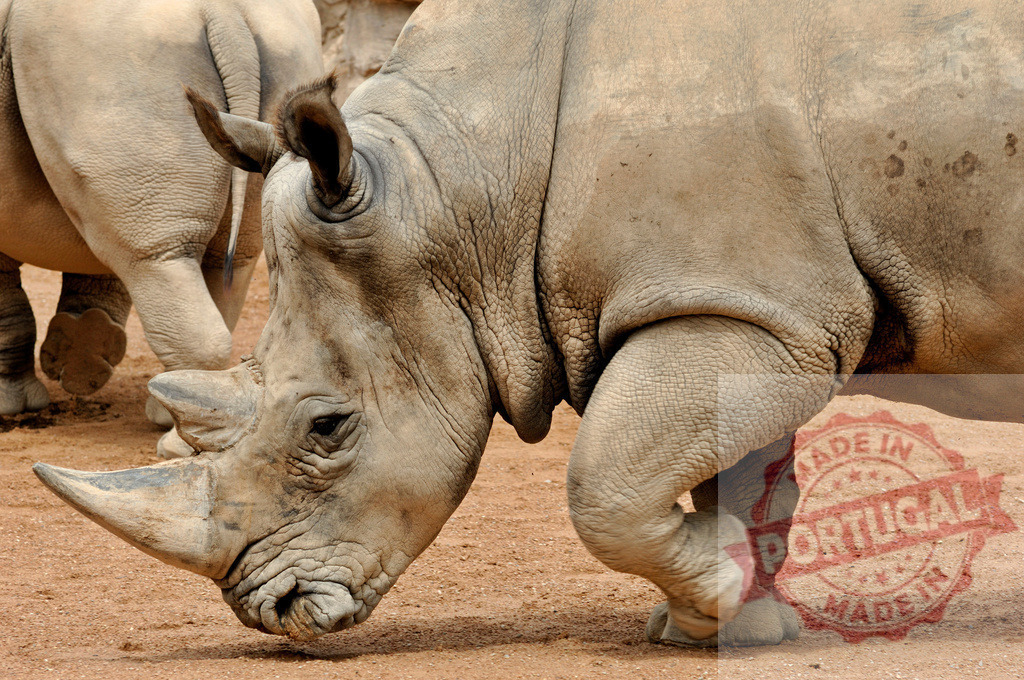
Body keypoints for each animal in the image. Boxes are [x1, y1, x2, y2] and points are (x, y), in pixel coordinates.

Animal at [0, 0, 322, 456]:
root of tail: (226, 14)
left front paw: (12, 405)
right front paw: (81, 362)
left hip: (116, 65)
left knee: (155, 258)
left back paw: (174, 444)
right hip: (285, 57)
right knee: (226, 260)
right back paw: (171, 414)